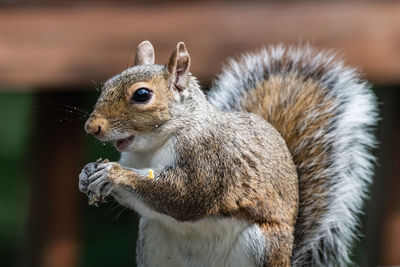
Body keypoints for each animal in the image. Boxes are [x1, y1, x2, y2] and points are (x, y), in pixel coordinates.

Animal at [78, 40, 378, 266]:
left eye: (142, 95)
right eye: (107, 84)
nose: (91, 127)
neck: (154, 145)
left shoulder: (208, 157)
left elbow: (185, 195)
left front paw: (114, 174)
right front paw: (88, 173)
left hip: (261, 245)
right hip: (152, 240)